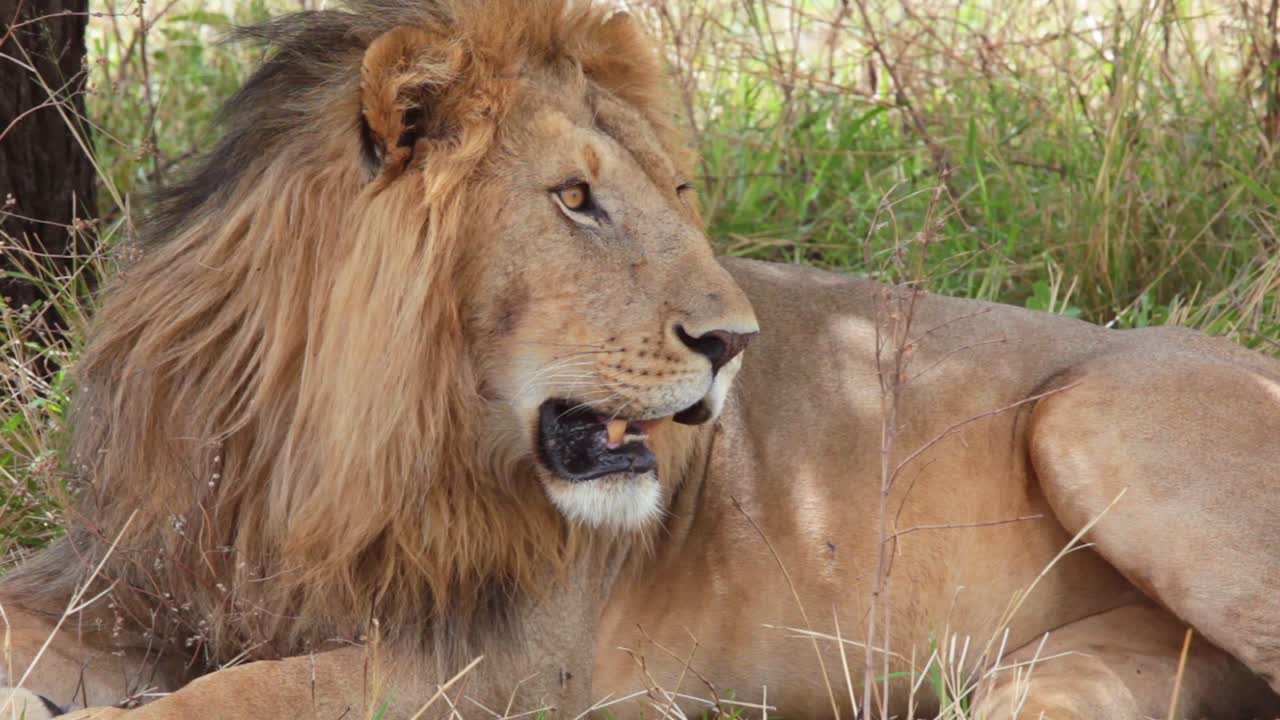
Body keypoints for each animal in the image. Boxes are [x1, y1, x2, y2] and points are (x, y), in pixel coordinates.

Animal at [1, 0, 1279, 718]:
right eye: (574, 199)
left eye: (672, 192)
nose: (732, 344)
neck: (326, 438)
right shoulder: (136, 563)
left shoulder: (500, 664)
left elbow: (245, 688)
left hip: (1093, 418)